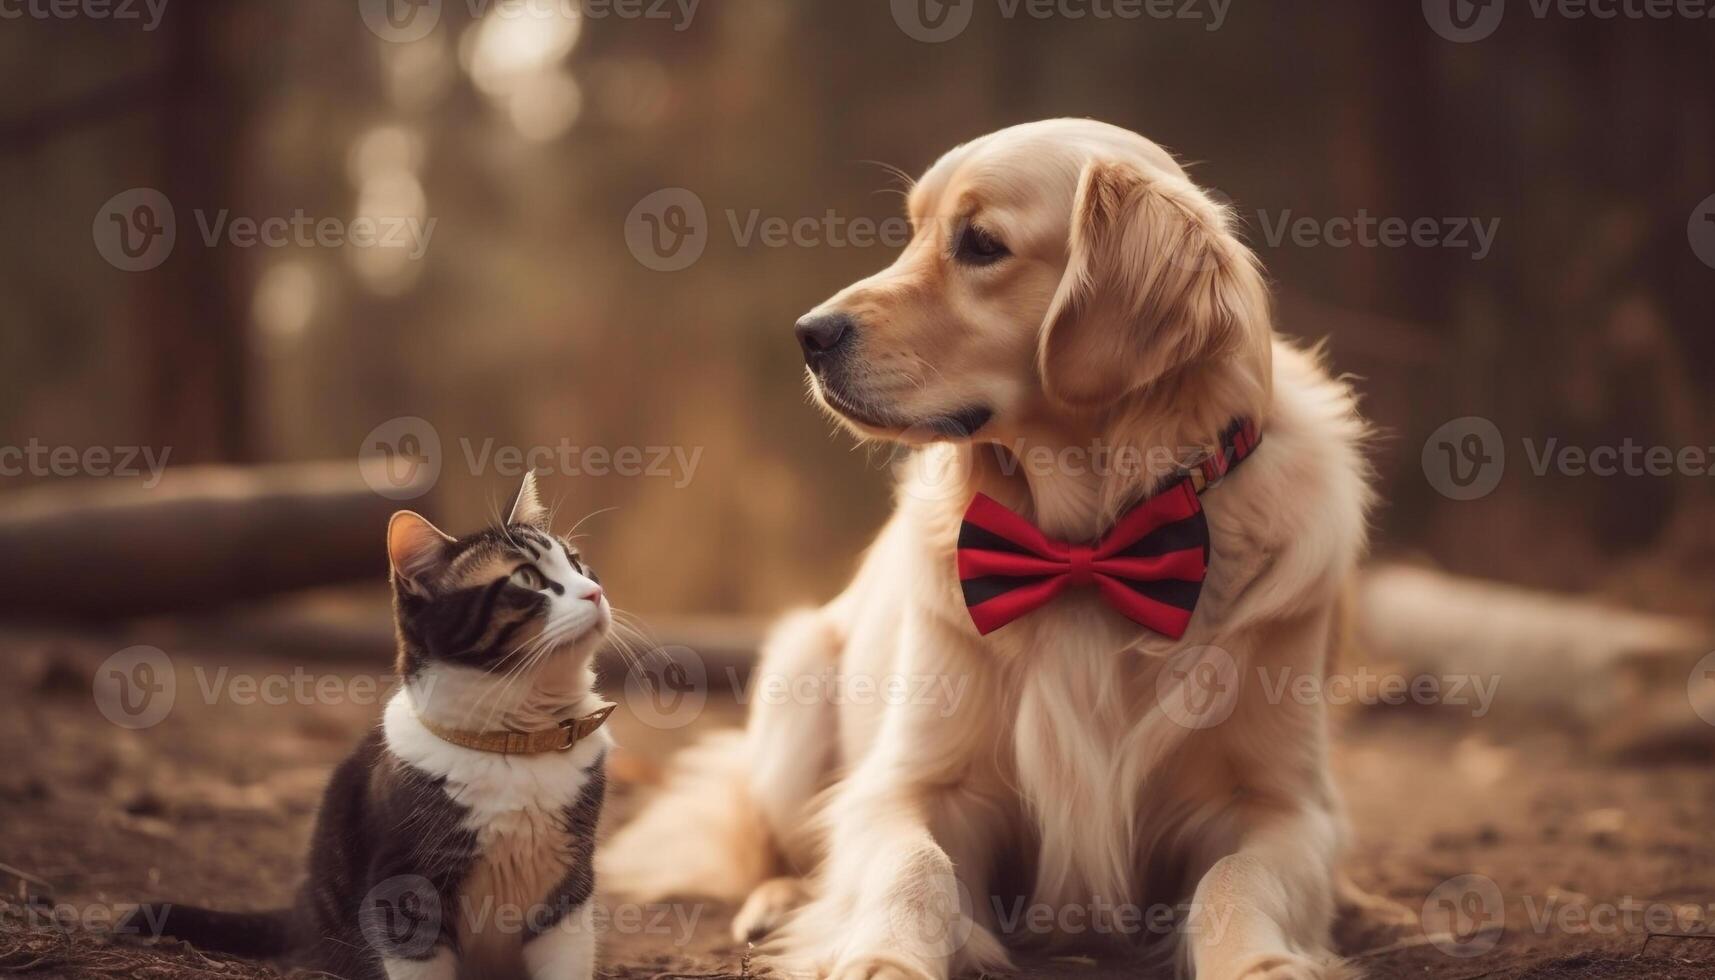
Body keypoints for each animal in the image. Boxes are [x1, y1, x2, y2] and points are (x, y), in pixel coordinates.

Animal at [132, 470, 617, 974]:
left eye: (577, 564)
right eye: (527, 578)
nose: (596, 592)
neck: (516, 744)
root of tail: (300, 910)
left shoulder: (569, 890)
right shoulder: (403, 888)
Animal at [610, 120, 1372, 980]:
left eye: (980, 244)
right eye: (912, 232)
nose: (808, 335)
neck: (1087, 546)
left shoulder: (1284, 805)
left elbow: (1234, 878)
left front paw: (1259, 961)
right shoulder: (912, 783)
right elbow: (915, 867)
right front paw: (882, 957)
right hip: (795, 683)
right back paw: (777, 901)